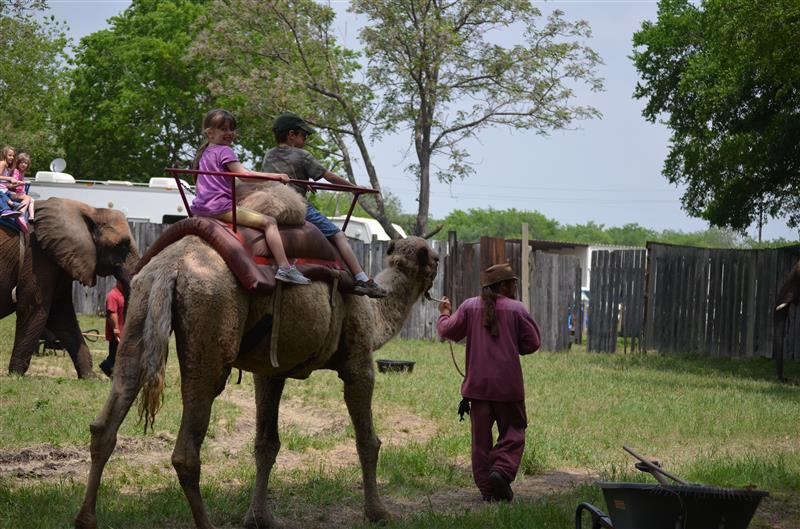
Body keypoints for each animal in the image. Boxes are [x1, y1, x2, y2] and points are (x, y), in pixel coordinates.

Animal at [74, 186, 439, 529]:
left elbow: (266, 444)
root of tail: (170, 267)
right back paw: (206, 523)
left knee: (106, 421)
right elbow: (368, 440)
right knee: (186, 449)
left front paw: (259, 517)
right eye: (435, 258)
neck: (377, 314)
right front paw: (378, 512)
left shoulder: (269, 372)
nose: (434, 279)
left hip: (139, 308)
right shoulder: (359, 360)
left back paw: (86, 519)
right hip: (210, 320)